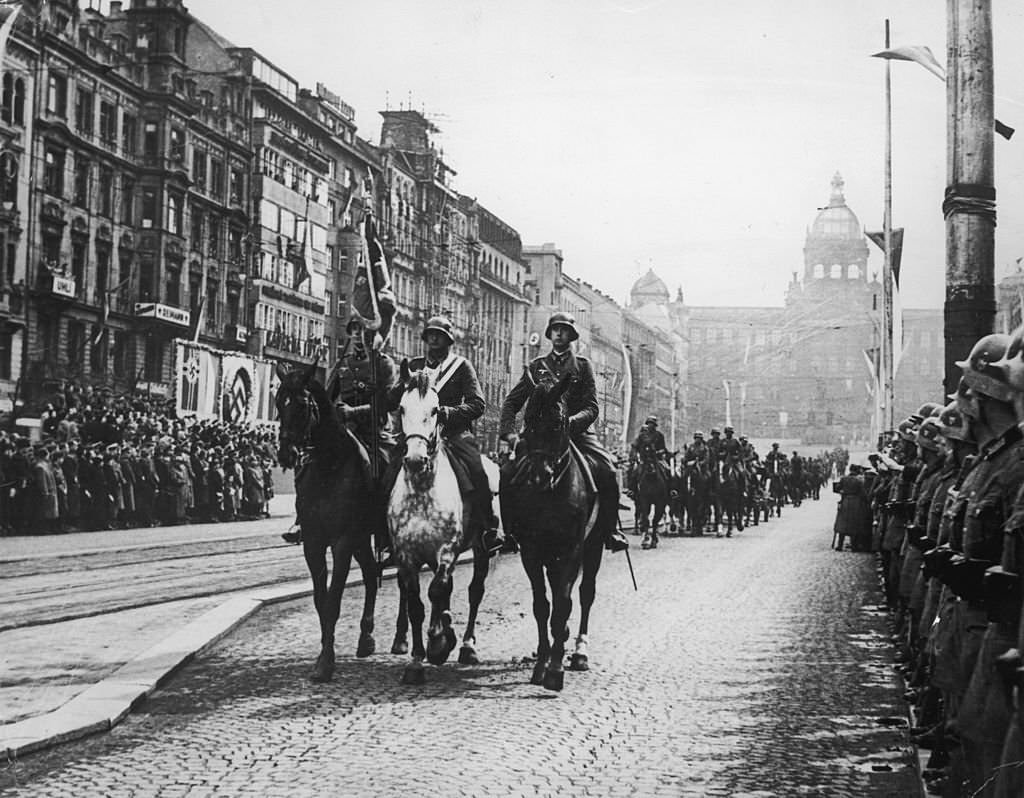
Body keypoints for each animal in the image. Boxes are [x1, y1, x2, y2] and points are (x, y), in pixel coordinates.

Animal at [274, 362, 378, 680]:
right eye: (277, 403)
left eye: (302, 405)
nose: (286, 453)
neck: (329, 466)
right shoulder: (314, 542)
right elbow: (321, 601)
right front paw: (323, 654)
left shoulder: (342, 542)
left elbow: (333, 600)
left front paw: (326, 664)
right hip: (361, 539)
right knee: (371, 573)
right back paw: (365, 638)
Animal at [387, 364, 491, 684]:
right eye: (401, 407)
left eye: (435, 410)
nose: (415, 459)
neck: (422, 490)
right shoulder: (407, 556)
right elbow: (416, 604)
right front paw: (416, 662)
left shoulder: (445, 551)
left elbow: (435, 592)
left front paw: (437, 643)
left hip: (481, 548)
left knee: (474, 591)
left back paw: (467, 646)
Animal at [499, 370, 602, 688]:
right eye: (529, 422)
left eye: (557, 423)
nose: (537, 475)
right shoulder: (531, 552)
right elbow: (542, 606)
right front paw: (542, 663)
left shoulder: (571, 550)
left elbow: (563, 604)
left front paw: (555, 669)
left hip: (594, 547)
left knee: (585, 593)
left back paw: (579, 652)